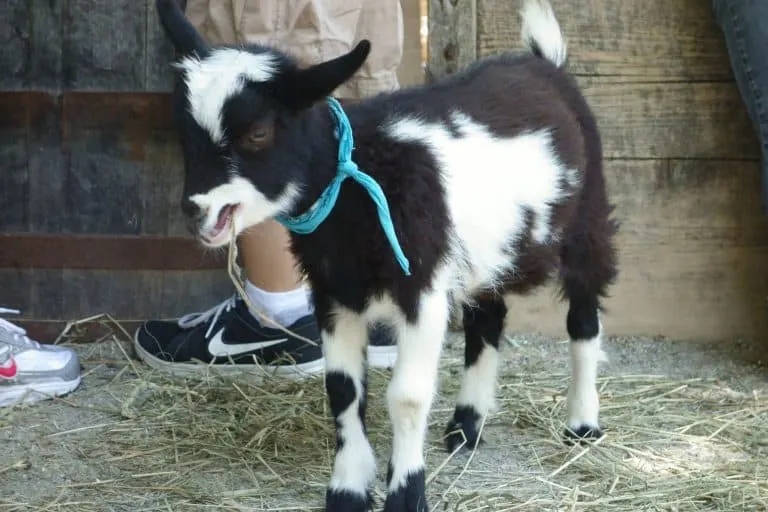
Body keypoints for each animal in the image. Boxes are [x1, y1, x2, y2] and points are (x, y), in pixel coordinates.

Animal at [154, 0, 616, 510]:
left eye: (258, 132)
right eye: (184, 131)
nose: (196, 209)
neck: (359, 178)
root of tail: (544, 63)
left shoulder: (423, 289)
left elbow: (407, 396)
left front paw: (406, 492)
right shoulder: (334, 291)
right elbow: (342, 387)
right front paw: (348, 489)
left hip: (588, 218)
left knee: (583, 319)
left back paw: (582, 423)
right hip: (486, 251)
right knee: (487, 320)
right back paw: (466, 427)